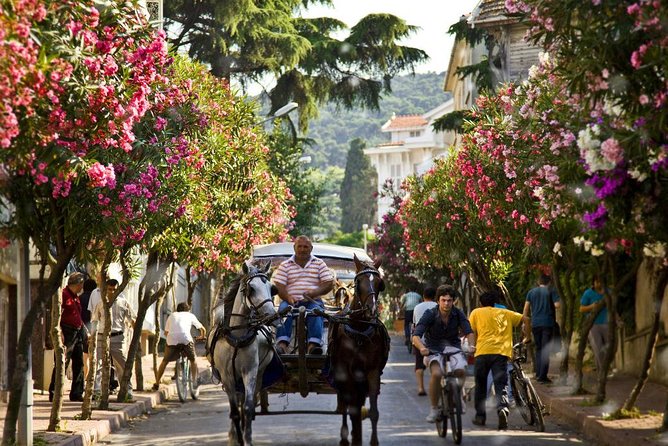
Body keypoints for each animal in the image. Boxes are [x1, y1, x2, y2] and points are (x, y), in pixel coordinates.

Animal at [210, 262, 280, 446]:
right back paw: (233, 434)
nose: (272, 316)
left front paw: (247, 439)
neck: (236, 336)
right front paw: (237, 438)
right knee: (237, 402)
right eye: (251, 289)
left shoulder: (250, 371)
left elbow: (247, 408)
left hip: (259, 373)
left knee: (249, 400)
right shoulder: (227, 375)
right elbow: (234, 411)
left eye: (272, 289)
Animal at [328, 254, 388, 446]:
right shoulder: (345, 373)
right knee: (346, 404)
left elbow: (373, 412)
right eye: (358, 282)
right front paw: (350, 437)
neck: (359, 330)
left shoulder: (372, 371)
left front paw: (372, 441)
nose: (372, 310)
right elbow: (351, 407)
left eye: (380, 283)